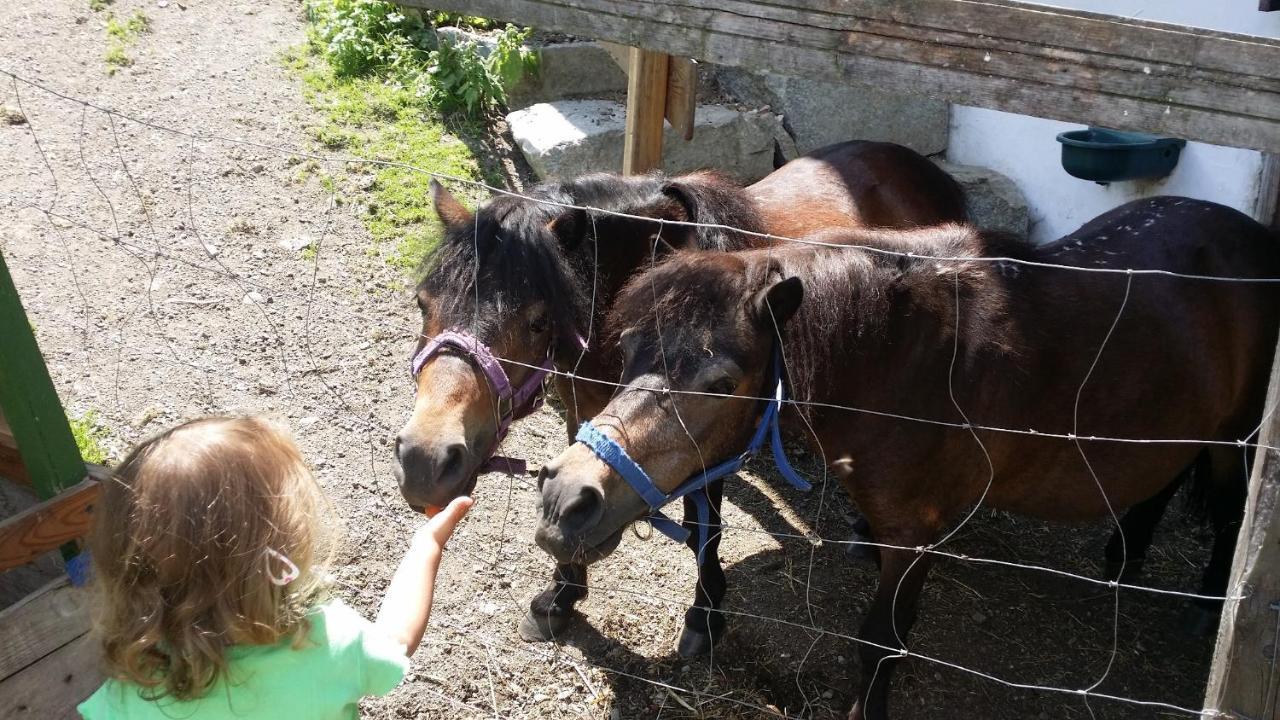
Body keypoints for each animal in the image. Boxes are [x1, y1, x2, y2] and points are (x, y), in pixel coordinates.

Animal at [394, 140, 962, 650]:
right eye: (423, 303)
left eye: (537, 320)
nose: (425, 460)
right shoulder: (592, 418)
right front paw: (560, 597)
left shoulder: (708, 438)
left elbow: (704, 527)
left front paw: (704, 616)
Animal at [537, 193, 1280, 712]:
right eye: (629, 349)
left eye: (721, 382)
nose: (565, 501)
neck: (907, 362)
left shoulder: (915, 535)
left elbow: (881, 639)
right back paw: (1124, 557)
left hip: (1237, 439)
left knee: (1232, 510)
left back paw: (1206, 606)